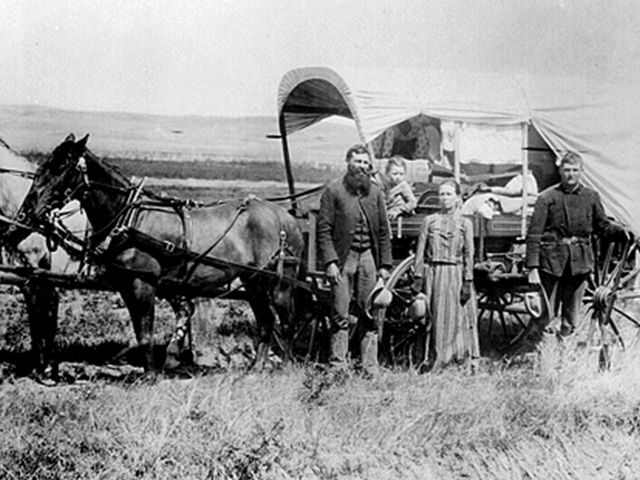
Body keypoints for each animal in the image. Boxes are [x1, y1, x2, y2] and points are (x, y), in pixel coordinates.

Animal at [0, 135, 90, 378]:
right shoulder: (27, 279)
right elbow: (36, 318)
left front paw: (49, 368)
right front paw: (40, 365)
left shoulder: (44, 278)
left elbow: (47, 316)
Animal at [13, 133, 304, 374]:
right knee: (266, 322)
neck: (129, 218)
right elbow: (142, 331)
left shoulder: (143, 283)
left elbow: (145, 333)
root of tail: (286, 218)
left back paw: (287, 367)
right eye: (45, 165)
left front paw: (152, 375)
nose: (28, 210)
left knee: (287, 322)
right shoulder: (127, 285)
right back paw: (256, 368)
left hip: (280, 283)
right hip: (253, 282)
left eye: (62, 166)